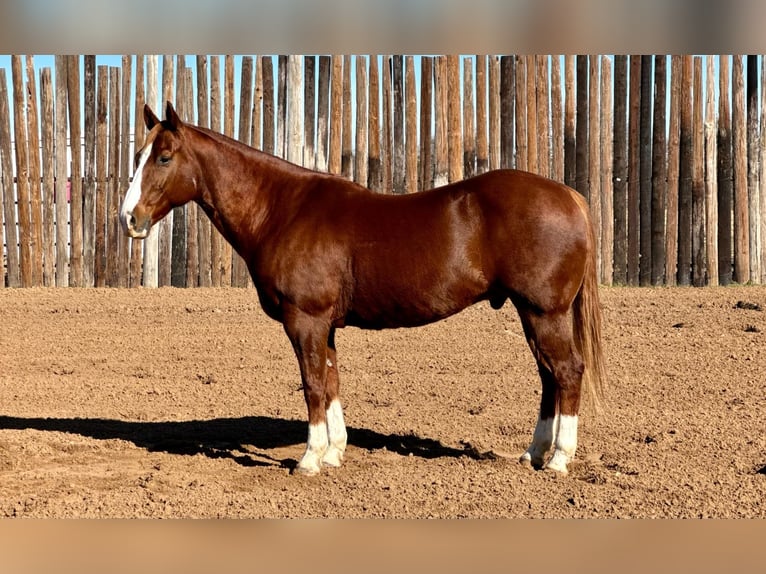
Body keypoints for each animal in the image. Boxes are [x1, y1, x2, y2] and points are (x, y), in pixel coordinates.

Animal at [120, 101, 605, 476]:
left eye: (164, 158)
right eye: (139, 154)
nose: (129, 218)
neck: (282, 211)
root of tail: (570, 196)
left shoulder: (305, 320)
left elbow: (313, 385)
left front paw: (309, 459)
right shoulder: (325, 326)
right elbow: (331, 381)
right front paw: (334, 453)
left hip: (544, 312)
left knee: (566, 372)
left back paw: (559, 459)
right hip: (532, 313)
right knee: (548, 376)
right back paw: (534, 454)